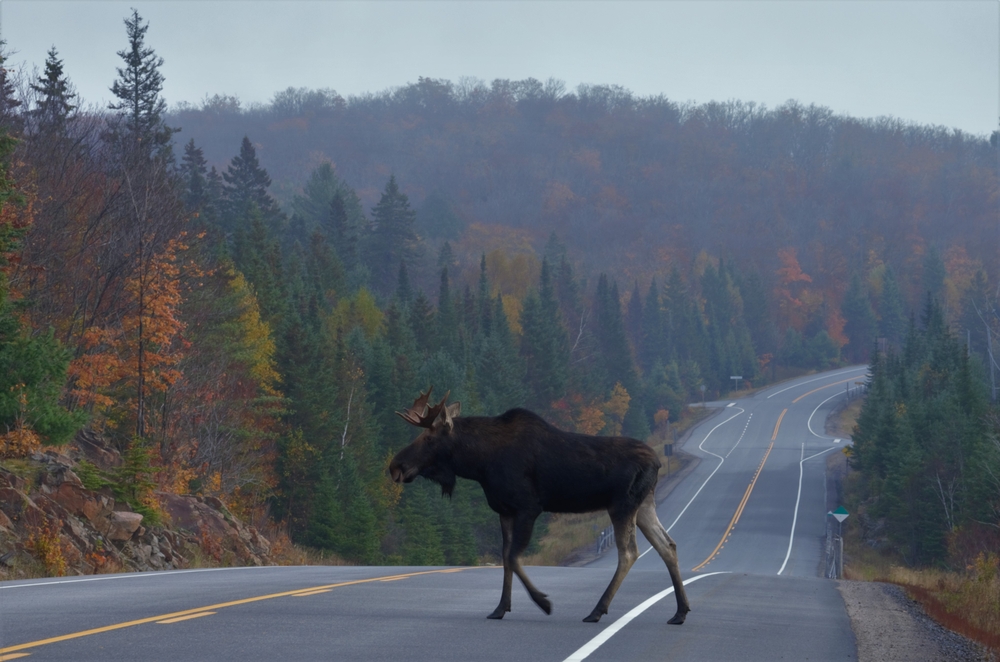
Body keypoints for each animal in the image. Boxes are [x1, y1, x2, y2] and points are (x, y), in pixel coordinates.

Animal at [388, 387, 690, 624]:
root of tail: (658, 462)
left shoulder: (528, 507)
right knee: (668, 545)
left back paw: (597, 610)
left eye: (429, 438)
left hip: (622, 505)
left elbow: (513, 557)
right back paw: (680, 612)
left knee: (629, 553)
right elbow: (505, 557)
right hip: (644, 505)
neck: (480, 463)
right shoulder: (505, 511)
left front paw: (543, 602)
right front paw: (500, 608)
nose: (395, 466)